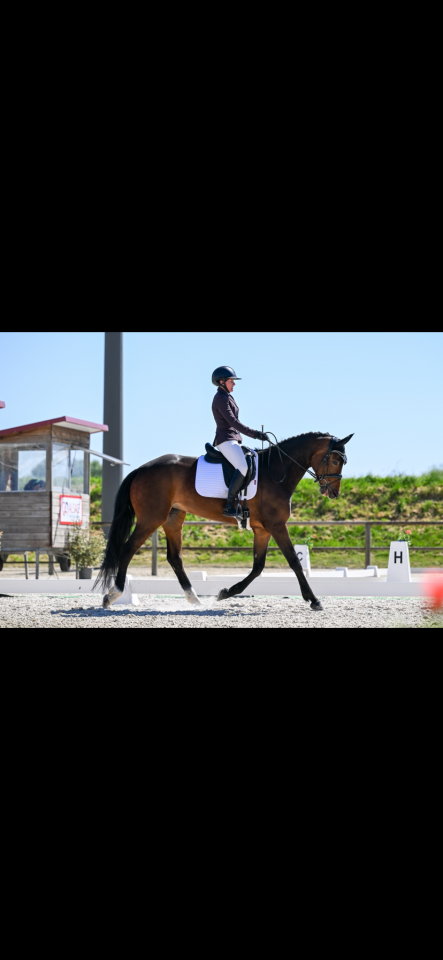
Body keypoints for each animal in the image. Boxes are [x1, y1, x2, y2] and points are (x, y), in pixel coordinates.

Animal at [95, 431, 354, 612]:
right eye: (335, 461)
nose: (334, 493)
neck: (276, 471)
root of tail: (141, 469)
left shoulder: (262, 530)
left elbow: (258, 567)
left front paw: (225, 592)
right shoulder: (277, 526)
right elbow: (294, 562)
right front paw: (314, 600)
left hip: (173, 518)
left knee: (174, 558)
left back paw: (194, 599)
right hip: (151, 519)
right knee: (128, 549)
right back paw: (112, 595)